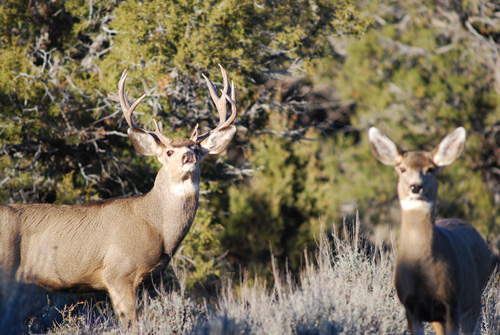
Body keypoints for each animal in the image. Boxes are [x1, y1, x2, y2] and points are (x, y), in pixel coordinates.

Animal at [368, 126, 492, 335]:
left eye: (430, 169)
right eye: (402, 169)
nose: (415, 186)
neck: (423, 269)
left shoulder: (451, 304)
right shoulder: (411, 307)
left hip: (475, 297)